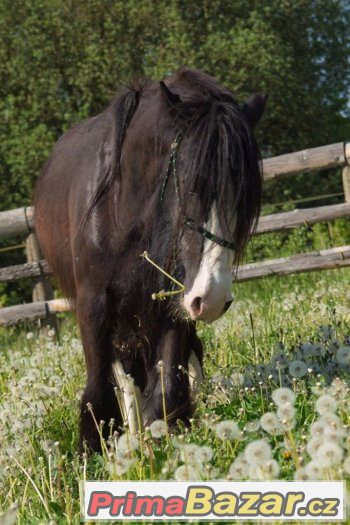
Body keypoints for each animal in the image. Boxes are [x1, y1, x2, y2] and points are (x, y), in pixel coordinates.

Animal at [34, 66, 266, 450]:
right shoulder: (94, 303)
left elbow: (169, 384)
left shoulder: (173, 300)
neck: (122, 209)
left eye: (244, 197)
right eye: (191, 185)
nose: (213, 297)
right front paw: (94, 450)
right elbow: (101, 388)